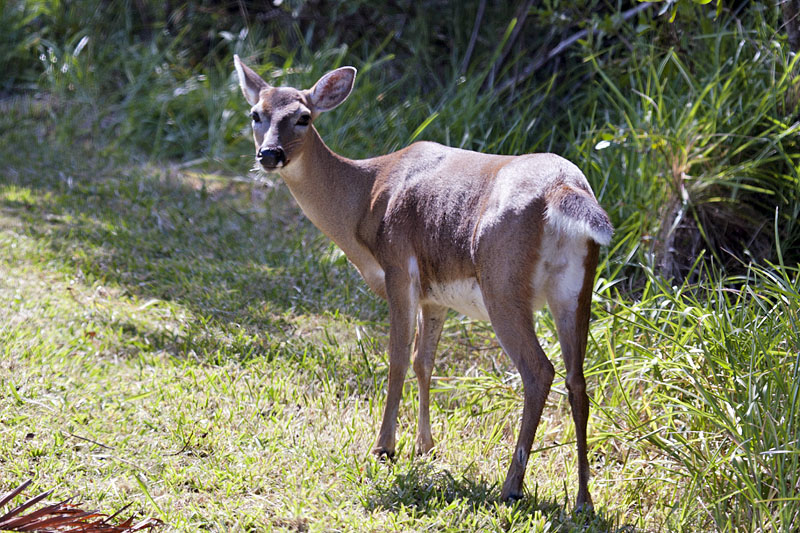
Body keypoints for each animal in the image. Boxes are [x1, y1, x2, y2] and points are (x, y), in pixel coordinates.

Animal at [231, 55, 612, 512]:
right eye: (256, 114)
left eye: (303, 117)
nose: (269, 154)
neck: (363, 199)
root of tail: (564, 188)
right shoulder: (436, 296)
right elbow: (423, 361)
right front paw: (425, 446)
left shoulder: (399, 266)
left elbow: (396, 357)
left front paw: (384, 447)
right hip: (576, 289)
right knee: (579, 380)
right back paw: (584, 498)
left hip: (502, 281)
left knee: (539, 370)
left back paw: (512, 485)